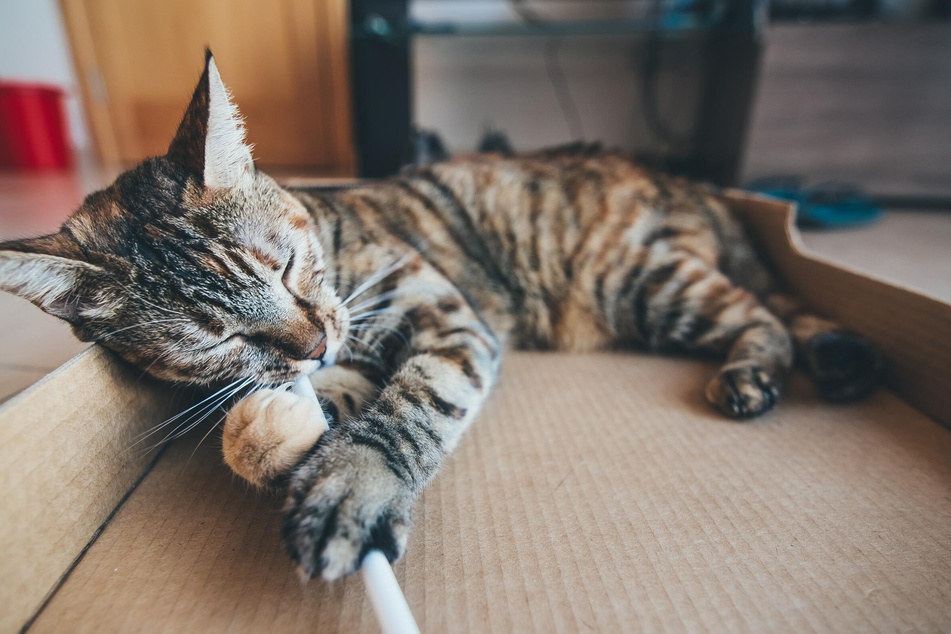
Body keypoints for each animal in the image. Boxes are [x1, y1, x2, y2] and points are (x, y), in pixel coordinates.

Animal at [0, 53, 884, 576]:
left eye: (284, 266)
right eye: (219, 338)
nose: (313, 341)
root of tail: (689, 184)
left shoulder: (446, 319)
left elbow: (415, 403)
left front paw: (355, 483)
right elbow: (335, 396)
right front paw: (289, 427)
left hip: (640, 279)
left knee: (765, 315)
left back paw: (756, 372)